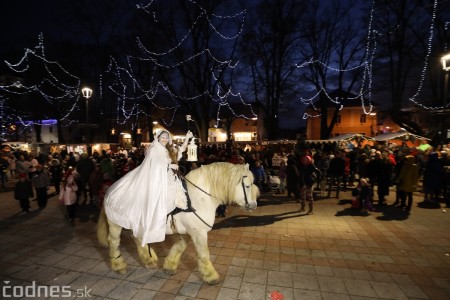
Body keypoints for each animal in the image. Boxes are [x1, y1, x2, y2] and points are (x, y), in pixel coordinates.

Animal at [97, 163, 260, 284]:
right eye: (247, 185)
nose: (254, 205)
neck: (197, 198)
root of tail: (111, 188)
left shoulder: (187, 232)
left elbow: (179, 247)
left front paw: (169, 266)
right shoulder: (199, 233)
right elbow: (204, 254)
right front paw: (210, 276)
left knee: (136, 238)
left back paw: (149, 260)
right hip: (116, 224)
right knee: (114, 241)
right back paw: (118, 265)